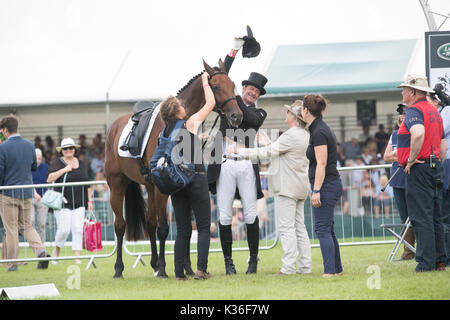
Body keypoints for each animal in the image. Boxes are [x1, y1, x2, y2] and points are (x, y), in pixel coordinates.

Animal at [104, 59, 243, 278]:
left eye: (232, 84)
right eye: (215, 86)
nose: (236, 116)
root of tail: (114, 127)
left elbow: (186, 228)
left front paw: (187, 268)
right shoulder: (163, 190)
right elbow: (164, 228)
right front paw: (164, 268)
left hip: (150, 187)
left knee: (150, 223)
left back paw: (153, 262)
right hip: (117, 185)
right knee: (120, 226)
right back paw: (119, 269)